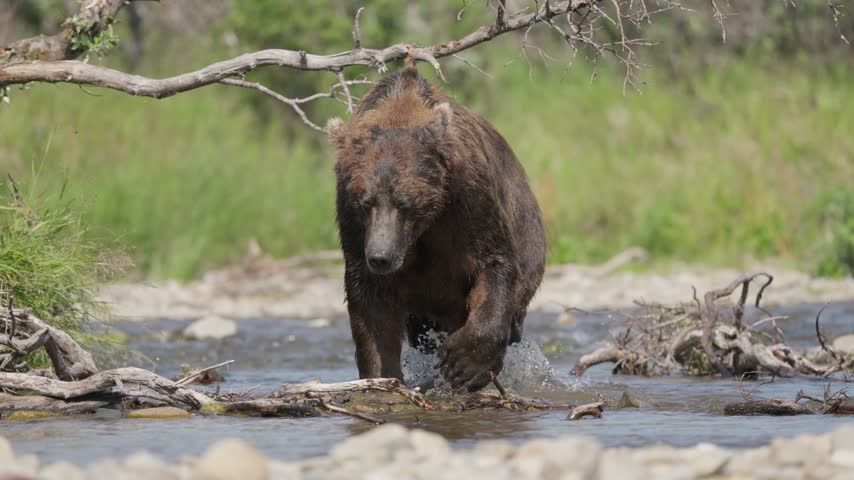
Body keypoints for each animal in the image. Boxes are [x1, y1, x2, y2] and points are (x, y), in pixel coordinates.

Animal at [328, 64, 546, 392]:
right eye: (365, 202)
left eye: (404, 202)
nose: (380, 257)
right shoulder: (353, 224)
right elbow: (371, 305)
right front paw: (381, 375)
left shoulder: (468, 197)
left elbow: (495, 263)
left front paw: (464, 364)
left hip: (528, 232)